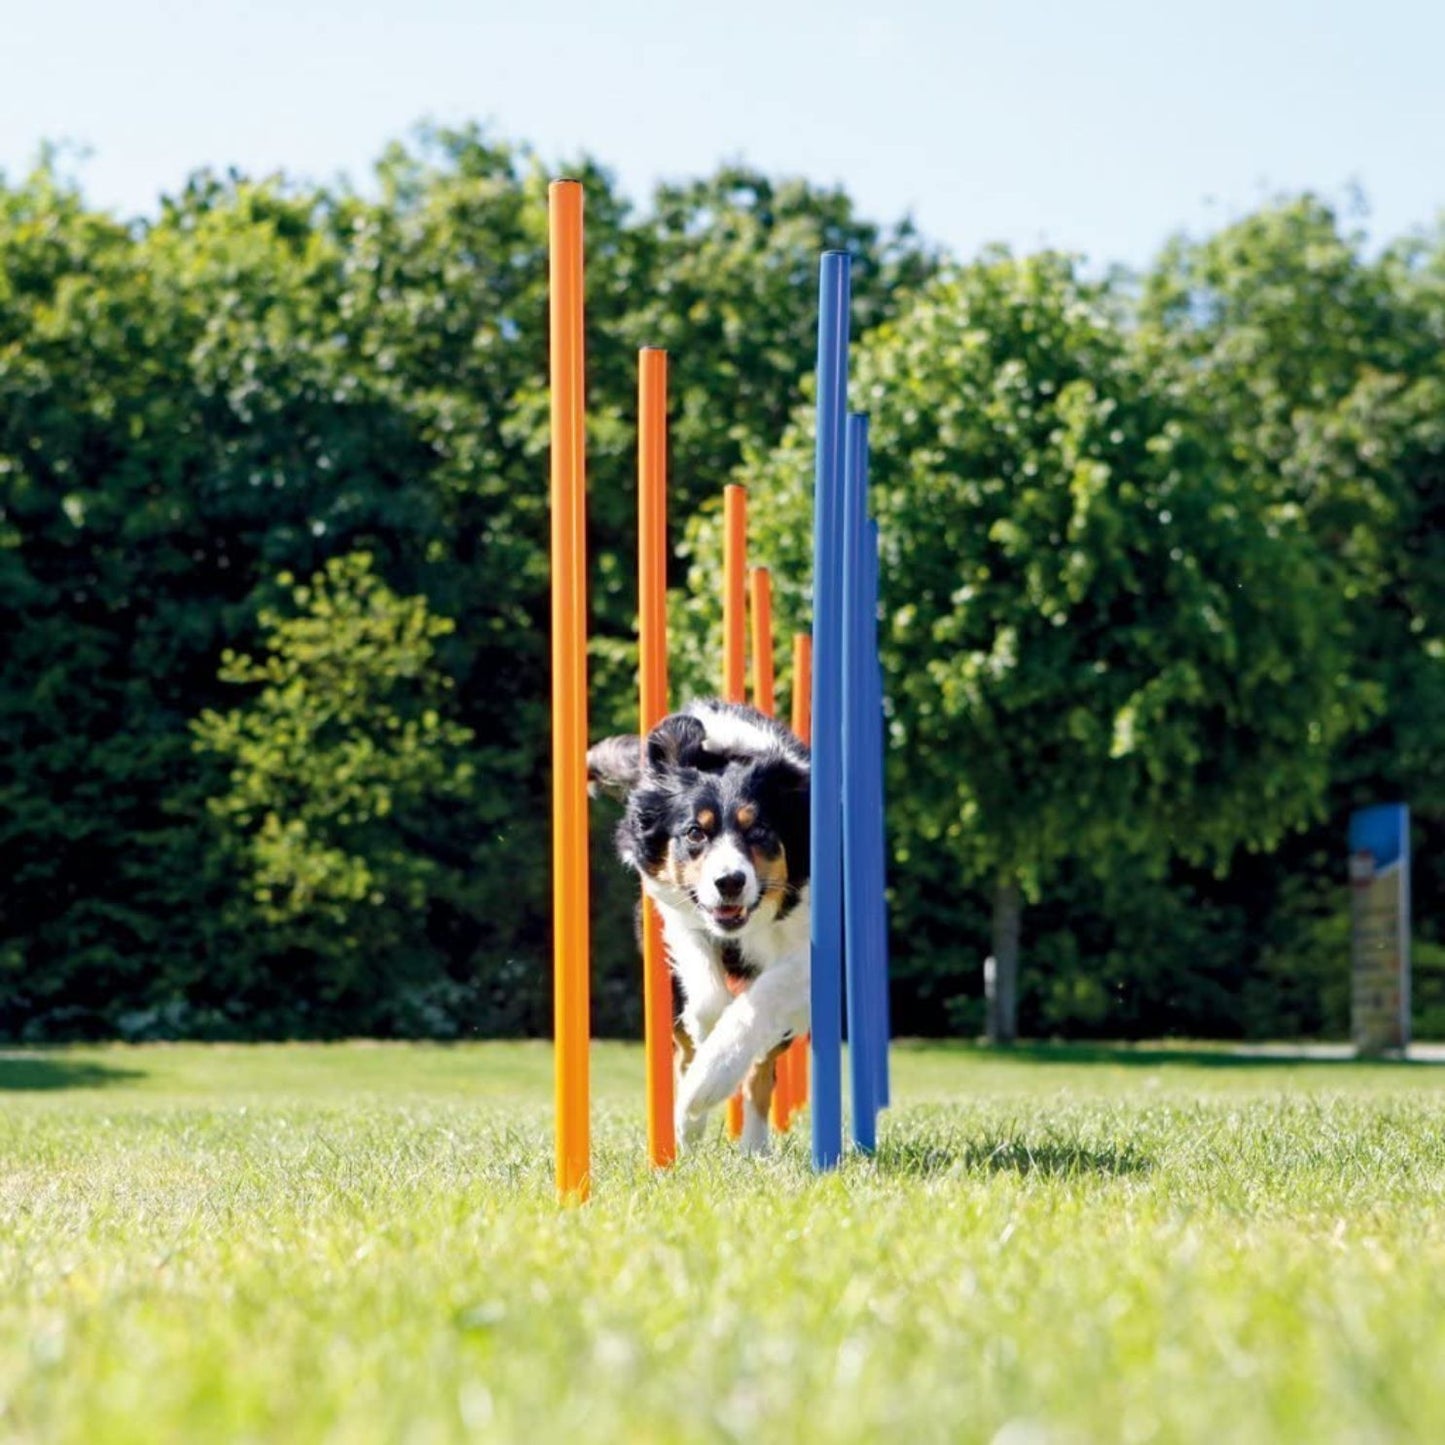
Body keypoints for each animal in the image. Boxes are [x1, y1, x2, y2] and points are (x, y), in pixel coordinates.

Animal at [589, 693, 814, 1156]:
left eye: (759, 829)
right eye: (695, 832)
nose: (729, 882)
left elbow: (761, 1000)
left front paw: (710, 1080)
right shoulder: (677, 915)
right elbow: (708, 999)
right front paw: (695, 1094)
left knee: (764, 1067)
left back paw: (753, 1147)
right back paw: (687, 1129)